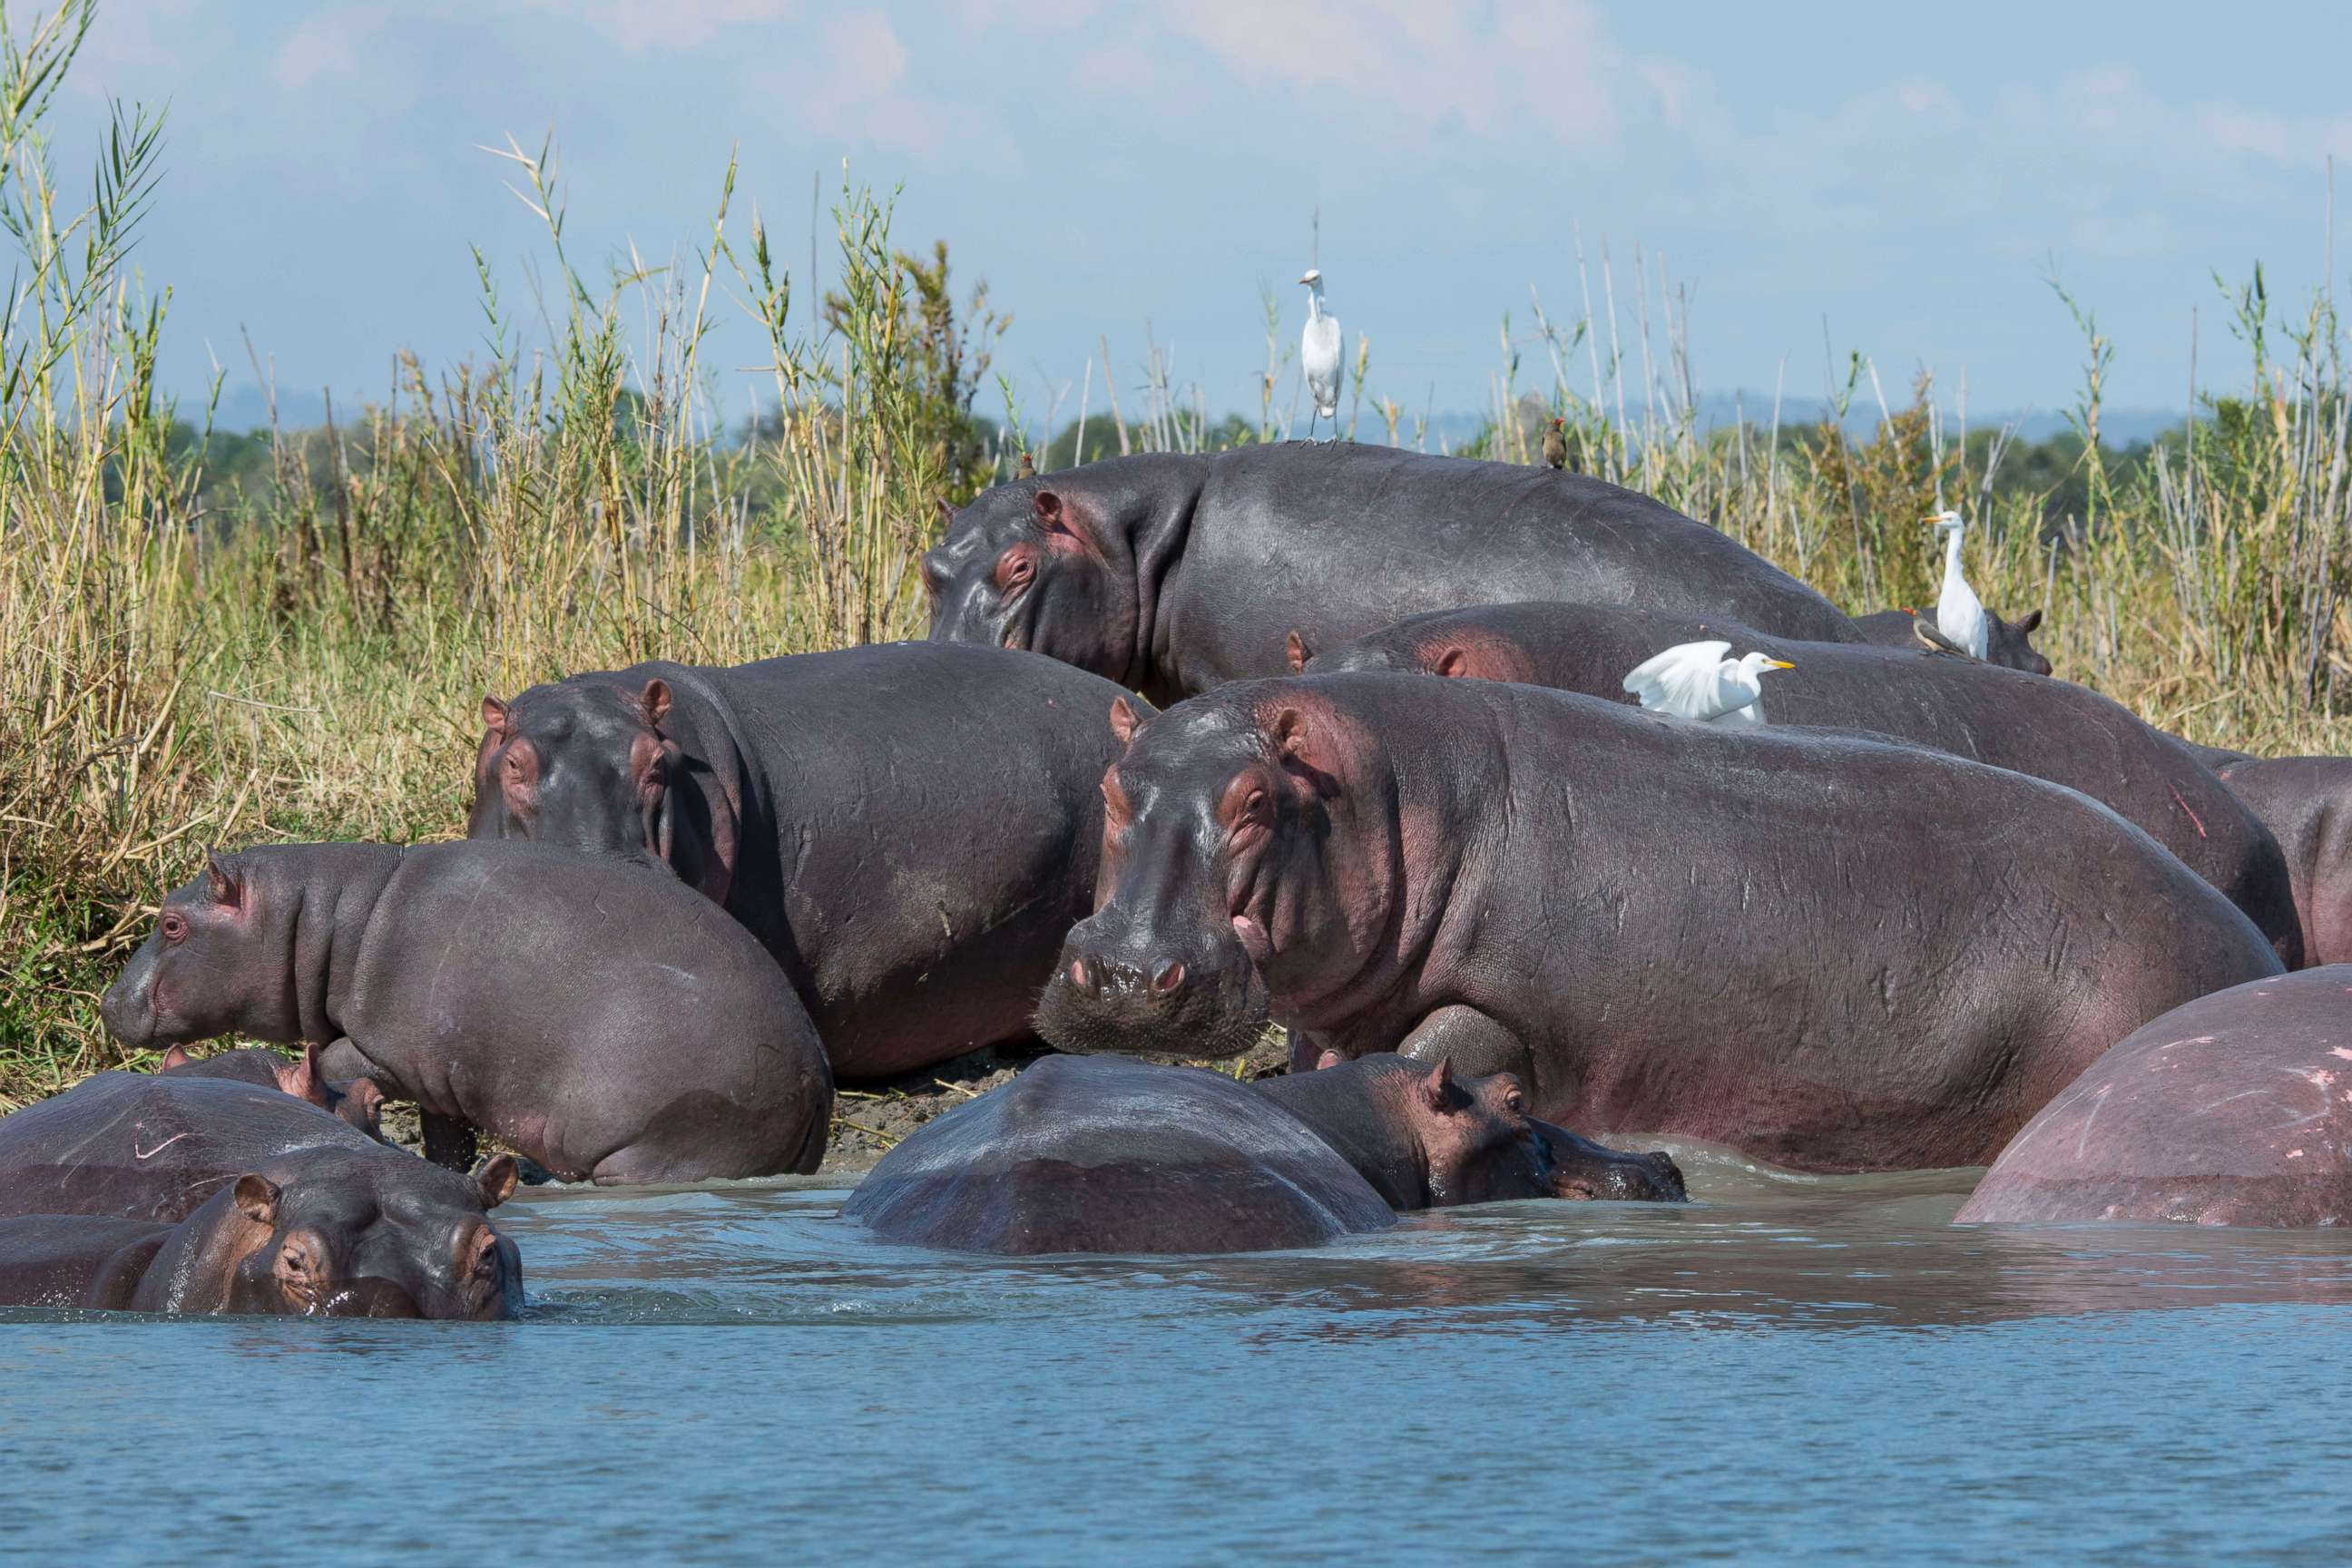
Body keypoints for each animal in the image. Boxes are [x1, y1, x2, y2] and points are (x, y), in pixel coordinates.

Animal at [101, 841, 837, 1184]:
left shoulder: (387, 1049)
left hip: (655, 1147)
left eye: (171, 923)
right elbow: (446, 1137)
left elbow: (332, 1058)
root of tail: (817, 1073)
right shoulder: (438, 1077)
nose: (108, 1003)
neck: (329, 918)